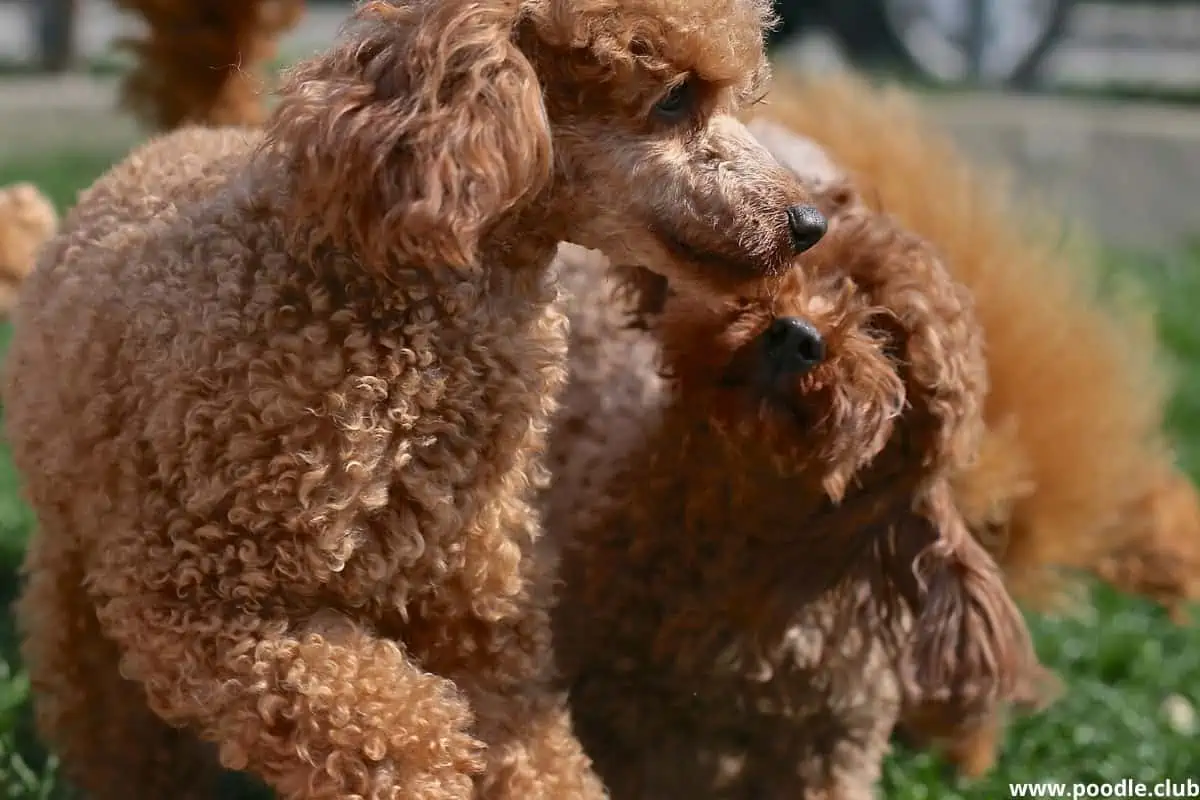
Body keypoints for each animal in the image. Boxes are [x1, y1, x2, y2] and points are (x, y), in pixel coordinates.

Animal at [2, 1, 825, 800]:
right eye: (676, 97)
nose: (809, 224)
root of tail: (197, 131)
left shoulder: (481, 620)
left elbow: (535, 758)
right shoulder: (203, 601)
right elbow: (397, 738)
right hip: (81, 564)